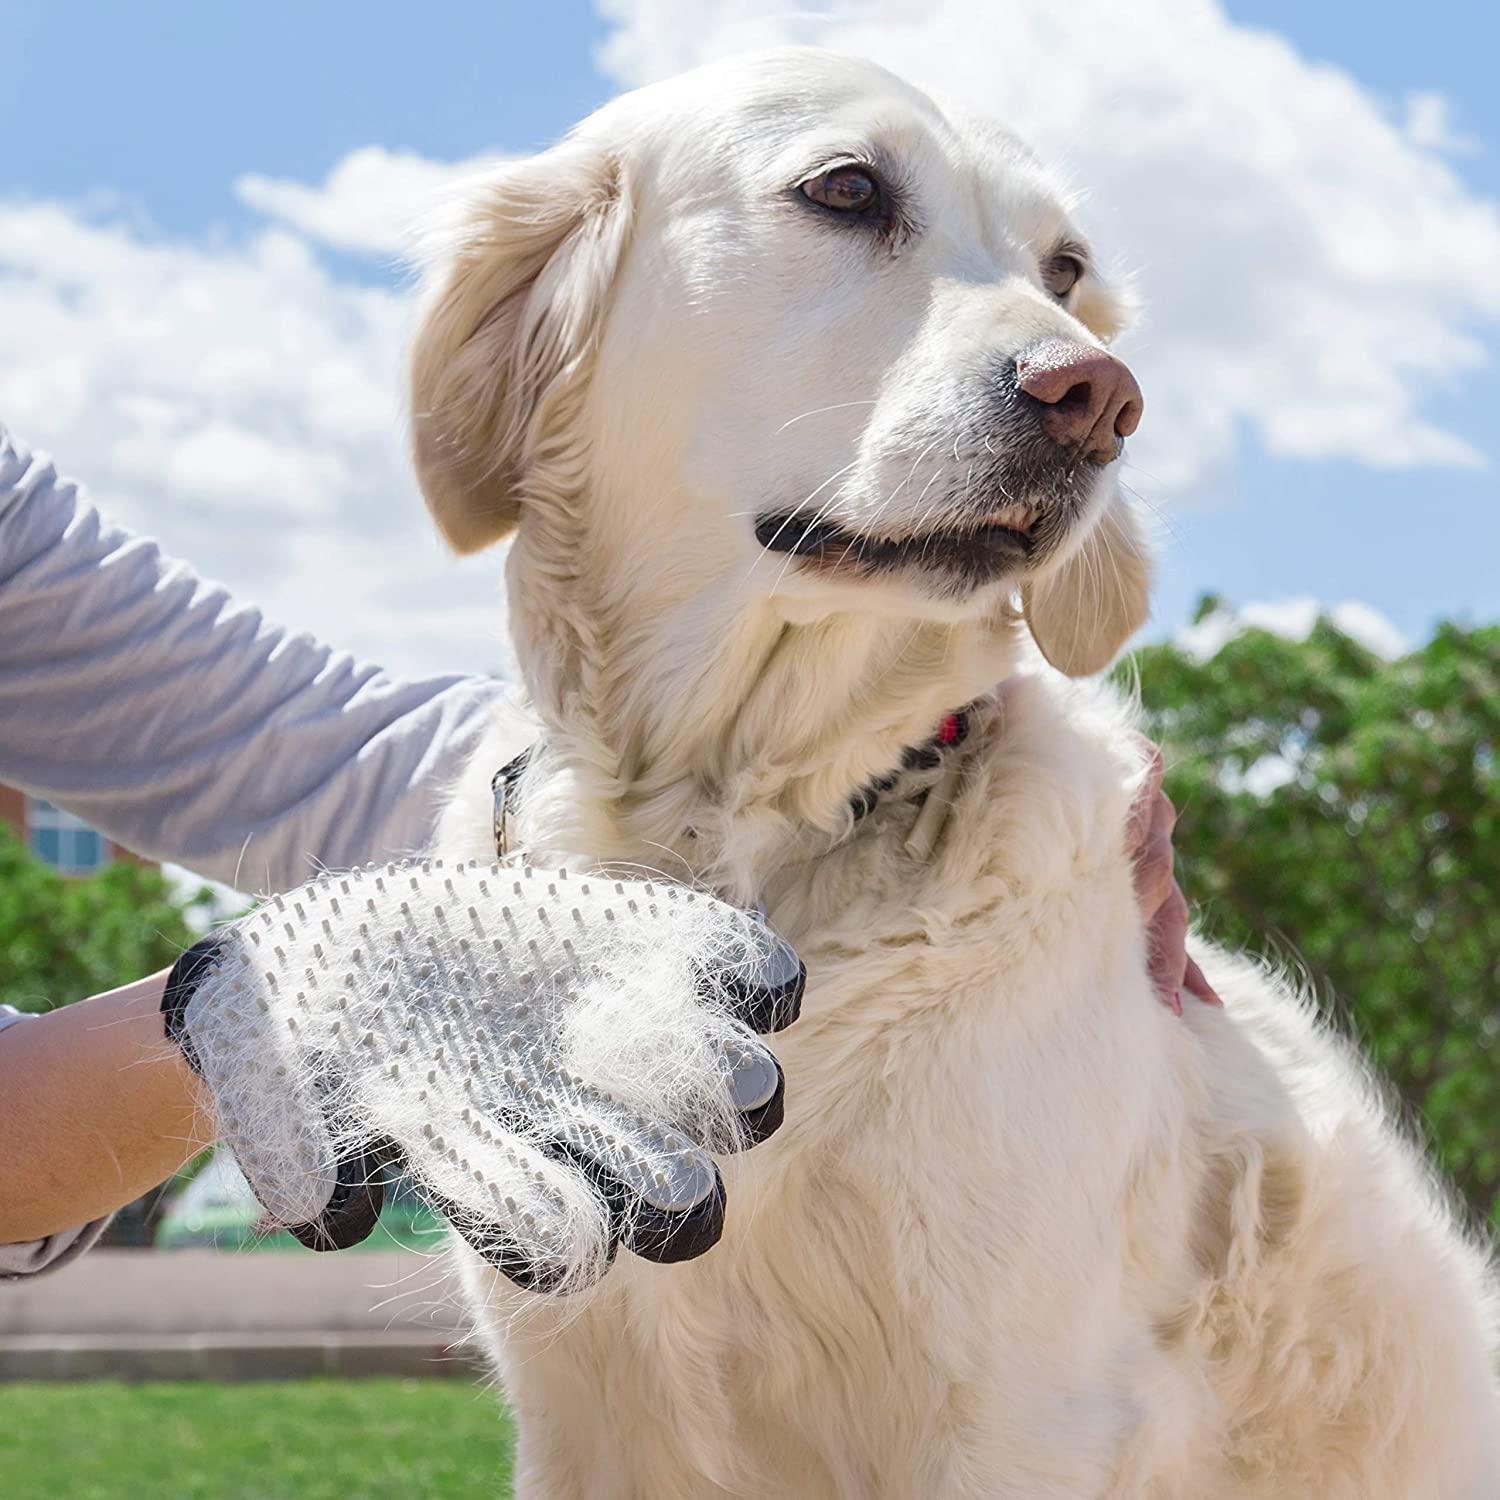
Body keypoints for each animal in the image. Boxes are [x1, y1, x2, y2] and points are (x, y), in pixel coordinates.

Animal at [411, 46, 1500, 1500]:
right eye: (846, 189)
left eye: (1068, 268)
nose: (1101, 397)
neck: (739, 822)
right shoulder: (582, 1412)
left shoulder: (1023, 1408)